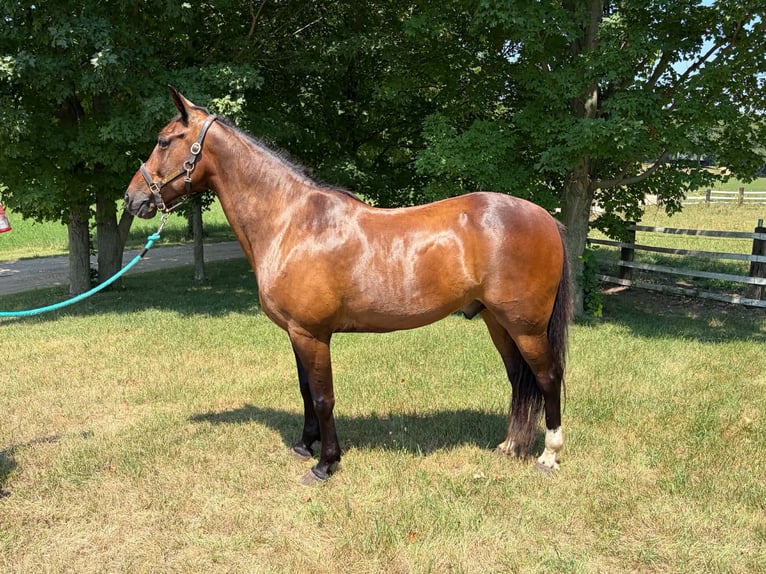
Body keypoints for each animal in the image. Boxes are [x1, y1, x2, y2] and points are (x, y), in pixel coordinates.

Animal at [124, 88, 573, 485]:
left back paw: (549, 456)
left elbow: (324, 398)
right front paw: (304, 446)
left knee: (547, 377)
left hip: (526, 326)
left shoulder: (313, 334)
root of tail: (546, 218)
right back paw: (510, 447)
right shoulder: (297, 333)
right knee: (518, 379)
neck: (292, 222)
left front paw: (325, 464)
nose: (132, 200)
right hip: (498, 322)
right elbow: (306, 390)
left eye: (164, 140)